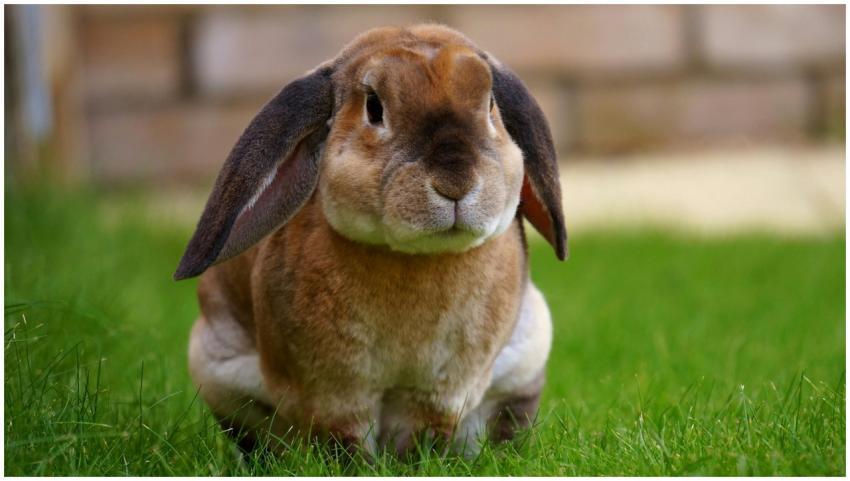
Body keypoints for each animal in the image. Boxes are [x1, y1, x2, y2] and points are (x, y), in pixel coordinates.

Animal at [174, 24, 567, 459]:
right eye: (374, 108)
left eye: (491, 103)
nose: (455, 182)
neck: (415, 258)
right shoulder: (335, 393)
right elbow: (345, 440)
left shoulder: (440, 393)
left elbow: (425, 435)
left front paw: (418, 463)